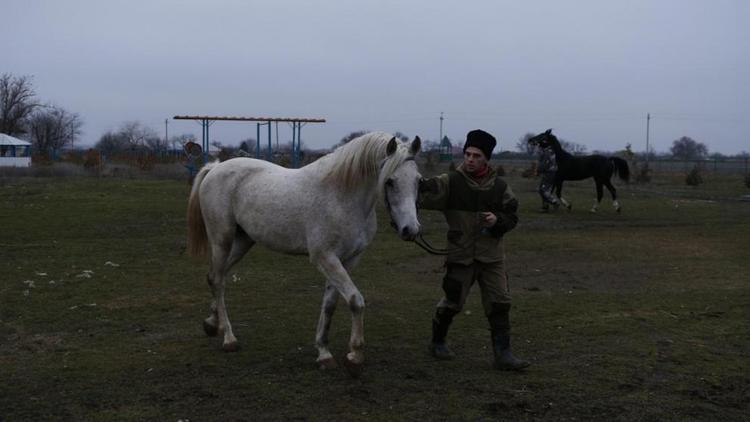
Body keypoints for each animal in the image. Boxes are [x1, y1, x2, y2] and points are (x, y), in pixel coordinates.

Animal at [188, 133, 424, 376]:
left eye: (418, 181)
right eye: (390, 181)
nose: (410, 230)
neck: (342, 195)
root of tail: (215, 168)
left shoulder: (347, 260)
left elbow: (330, 304)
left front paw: (324, 352)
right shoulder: (325, 258)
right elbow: (355, 300)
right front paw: (355, 354)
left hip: (244, 241)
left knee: (216, 277)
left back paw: (212, 323)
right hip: (221, 240)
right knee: (218, 280)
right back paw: (228, 337)